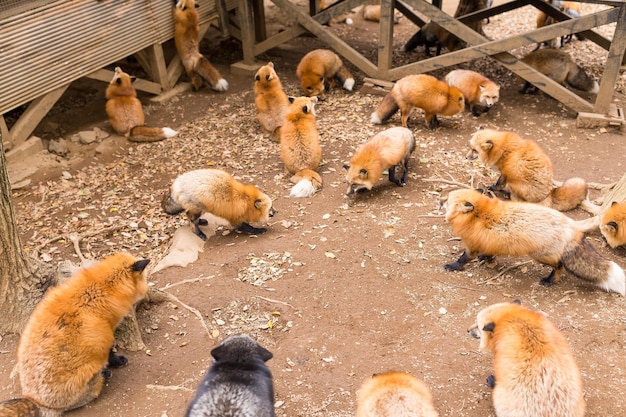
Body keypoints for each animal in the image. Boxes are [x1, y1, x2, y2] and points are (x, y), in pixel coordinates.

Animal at [0, 252, 150, 414]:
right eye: (144, 278)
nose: (147, 290)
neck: (100, 289)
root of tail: (38, 402)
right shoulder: (105, 333)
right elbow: (110, 353)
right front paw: (117, 361)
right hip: (89, 369)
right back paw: (105, 375)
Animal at [442, 188, 620, 292]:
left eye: (447, 200)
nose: (439, 199)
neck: (477, 216)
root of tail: (571, 226)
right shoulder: (491, 242)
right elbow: (489, 253)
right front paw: (486, 259)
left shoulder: (471, 246)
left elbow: (463, 259)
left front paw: (453, 266)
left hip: (541, 256)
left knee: (560, 266)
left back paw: (550, 281)